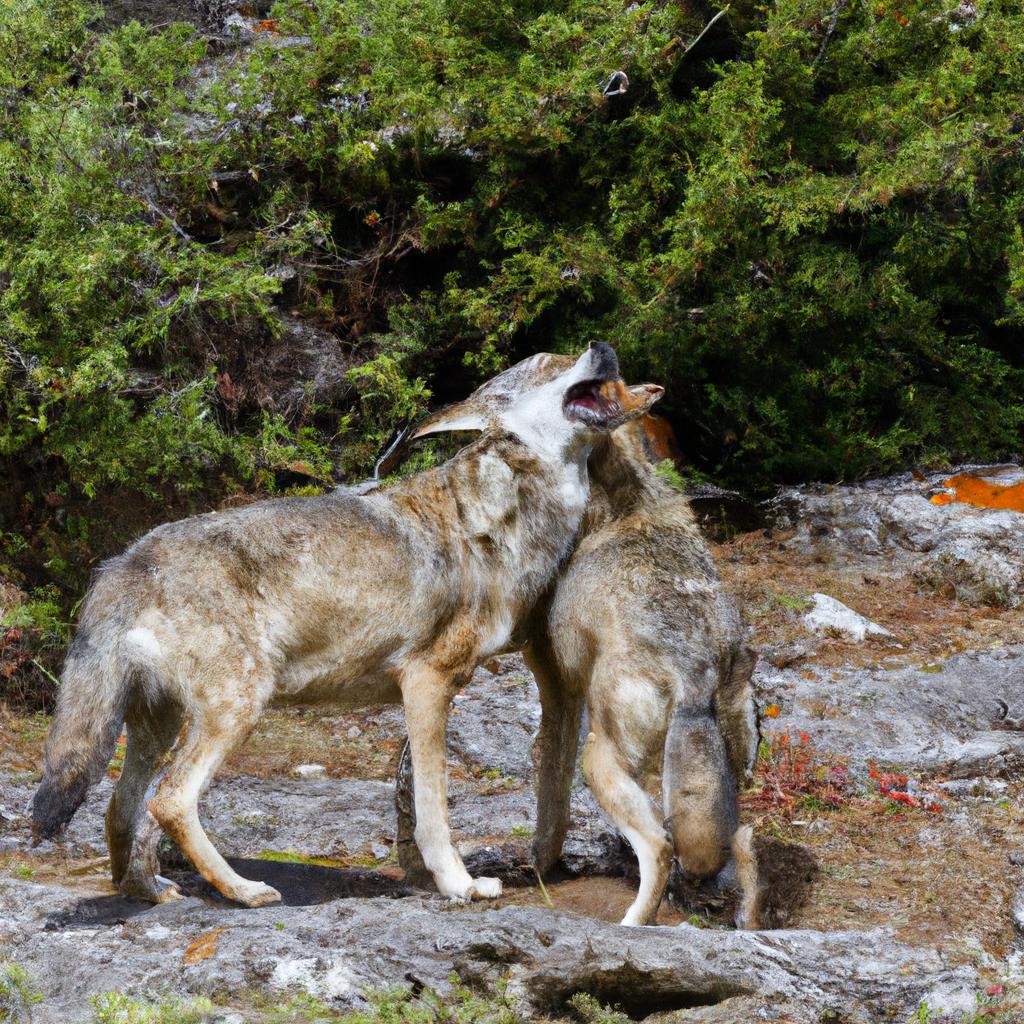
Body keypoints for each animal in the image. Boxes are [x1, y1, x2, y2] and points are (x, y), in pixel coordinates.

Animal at [34, 348, 663, 909]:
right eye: (554, 367)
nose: (603, 347)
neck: (502, 513)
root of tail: (127, 561)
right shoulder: (428, 682)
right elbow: (434, 811)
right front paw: (459, 886)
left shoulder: (425, 693)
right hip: (236, 707)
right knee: (167, 801)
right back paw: (243, 891)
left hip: (156, 725)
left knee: (121, 808)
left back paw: (147, 891)